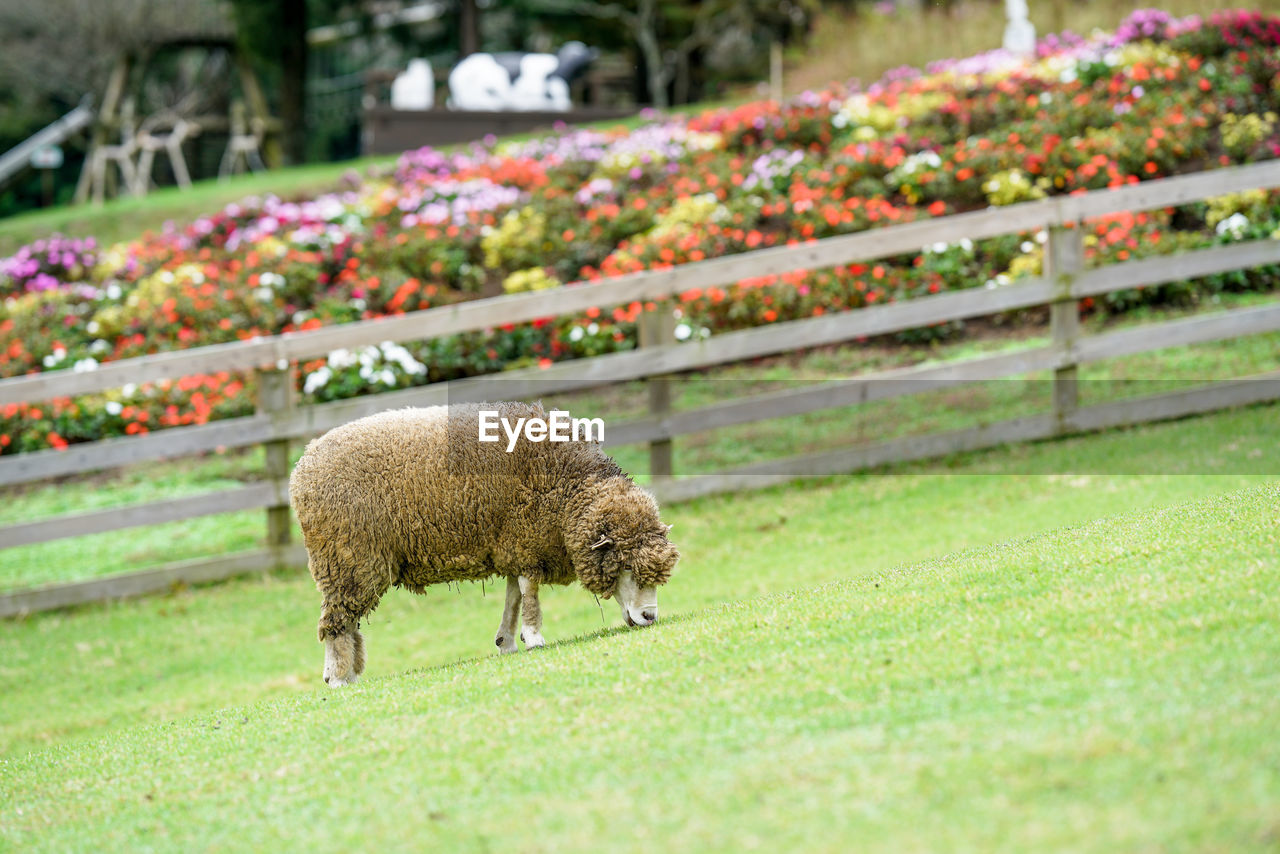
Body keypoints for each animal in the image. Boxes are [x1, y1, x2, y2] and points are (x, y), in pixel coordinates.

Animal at [285, 402, 675, 686]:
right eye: (626, 566)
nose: (650, 617)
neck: (568, 487)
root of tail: (303, 466)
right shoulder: (525, 536)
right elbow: (530, 594)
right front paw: (534, 638)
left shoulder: (511, 543)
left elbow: (513, 596)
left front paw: (507, 641)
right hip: (347, 555)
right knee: (338, 621)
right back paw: (338, 676)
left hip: (350, 560)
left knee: (348, 620)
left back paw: (347, 674)